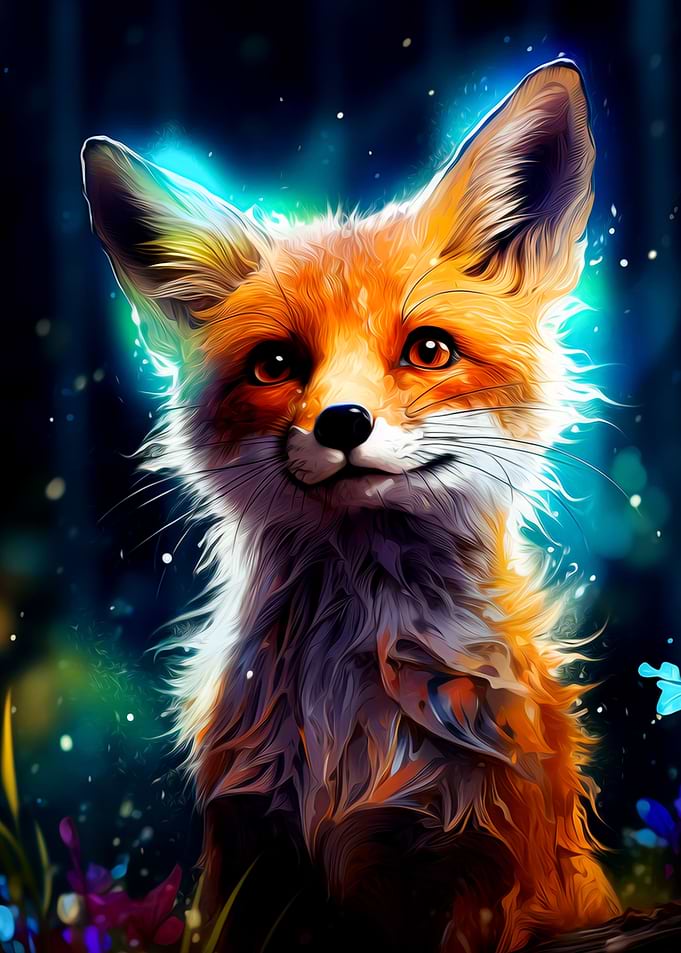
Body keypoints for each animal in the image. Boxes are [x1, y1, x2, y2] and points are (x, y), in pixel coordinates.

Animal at [82, 60, 622, 952]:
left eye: (428, 349)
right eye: (274, 364)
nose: (341, 423)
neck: (353, 719)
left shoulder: (486, 869)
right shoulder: (253, 859)